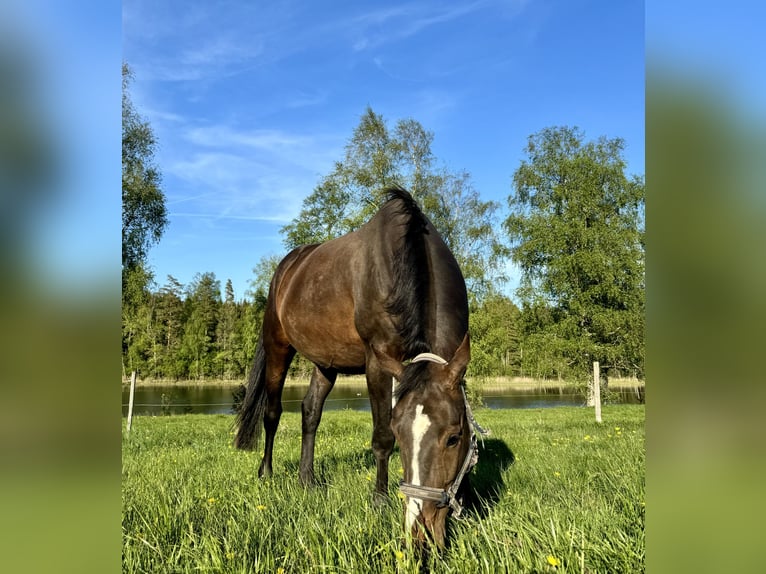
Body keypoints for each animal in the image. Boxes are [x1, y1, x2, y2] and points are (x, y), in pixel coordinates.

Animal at [237, 187, 484, 548]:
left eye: (455, 437)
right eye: (400, 434)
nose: (420, 531)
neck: (407, 262)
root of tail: (287, 268)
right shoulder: (378, 361)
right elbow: (380, 436)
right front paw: (379, 500)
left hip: (325, 364)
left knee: (310, 412)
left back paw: (307, 480)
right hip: (278, 347)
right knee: (272, 413)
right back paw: (266, 473)